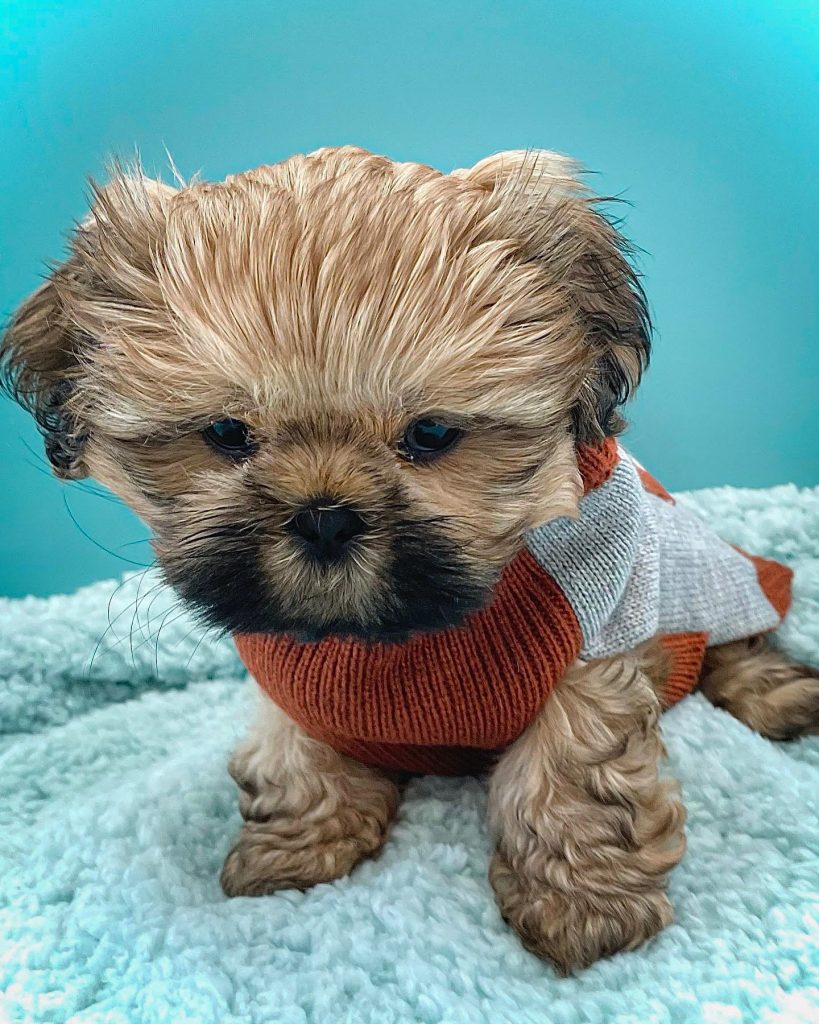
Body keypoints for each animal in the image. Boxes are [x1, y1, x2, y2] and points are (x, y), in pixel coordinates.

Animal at [3, 148, 814, 970]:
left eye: (429, 435)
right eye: (228, 434)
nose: (325, 518)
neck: (393, 634)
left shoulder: (592, 651)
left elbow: (570, 772)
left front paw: (582, 906)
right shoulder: (286, 679)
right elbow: (294, 754)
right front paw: (298, 843)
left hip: (715, 579)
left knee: (739, 642)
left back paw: (777, 694)